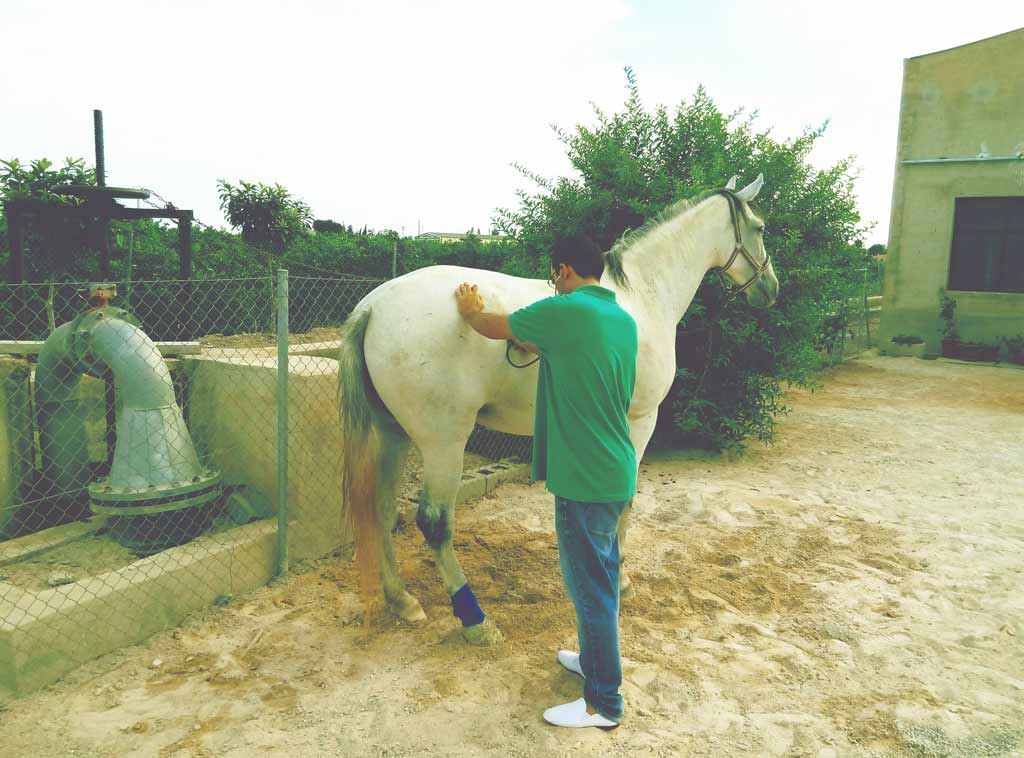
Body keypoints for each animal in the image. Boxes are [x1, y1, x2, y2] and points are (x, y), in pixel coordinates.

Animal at [337, 174, 779, 644]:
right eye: (760, 227)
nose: (770, 289)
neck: (639, 298)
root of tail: (375, 306)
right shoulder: (639, 421)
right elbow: (625, 498)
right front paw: (620, 577)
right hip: (444, 443)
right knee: (435, 523)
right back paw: (475, 621)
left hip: (393, 435)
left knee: (383, 511)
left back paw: (401, 600)